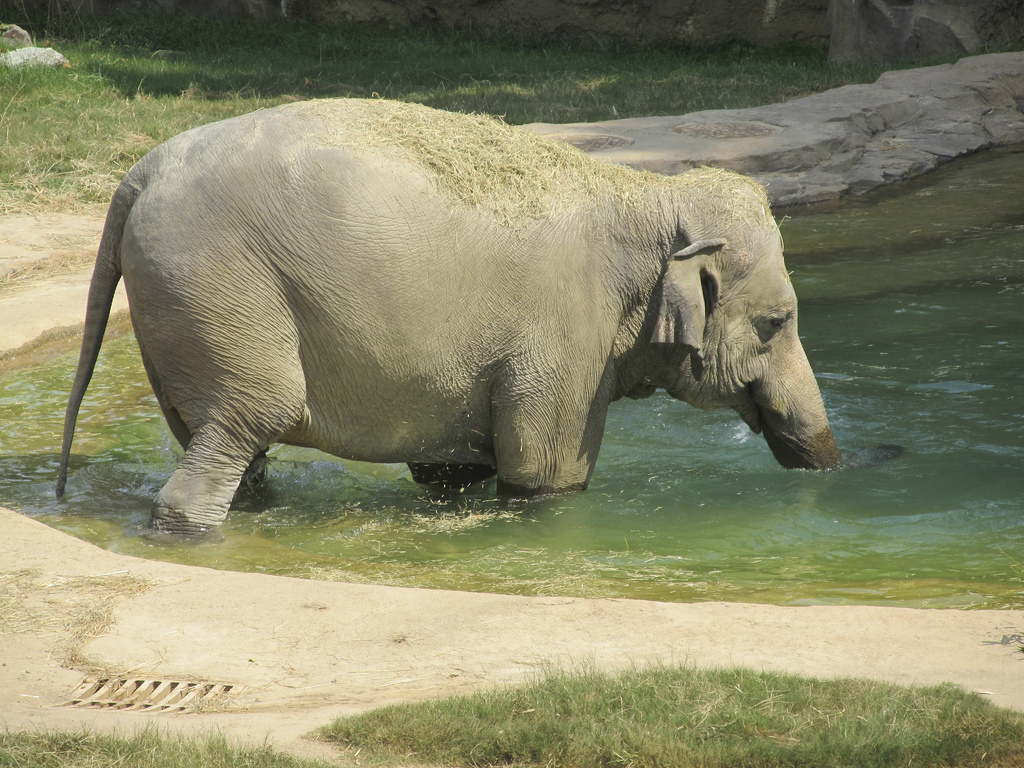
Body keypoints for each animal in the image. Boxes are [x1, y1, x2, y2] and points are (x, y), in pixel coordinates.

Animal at [57, 98, 841, 535]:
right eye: (778, 322)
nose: (838, 468)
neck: (646, 194)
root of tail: (139, 174)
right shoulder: (566, 344)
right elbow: (546, 477)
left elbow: (451, 473)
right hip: (220, 291)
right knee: (250, 418)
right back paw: (190, 532)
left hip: (180, 312)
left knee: (228, 444)